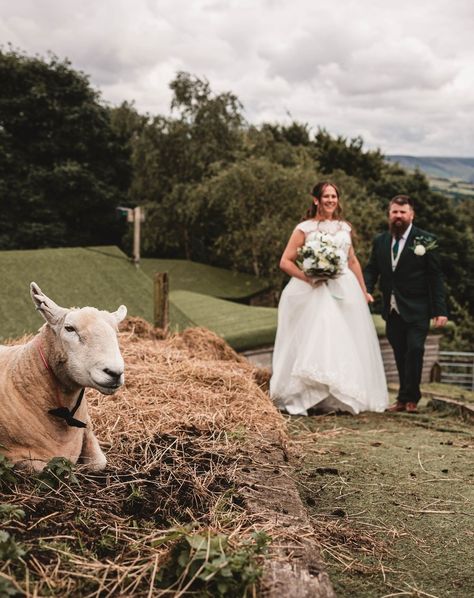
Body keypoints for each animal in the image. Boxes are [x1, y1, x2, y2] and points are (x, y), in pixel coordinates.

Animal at [0, 284, 127, 476]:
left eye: (116, 332)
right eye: (69, 328)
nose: (115, 372)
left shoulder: (87, 431)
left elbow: (99, 463)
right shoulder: (16, 457)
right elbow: (44, 468)